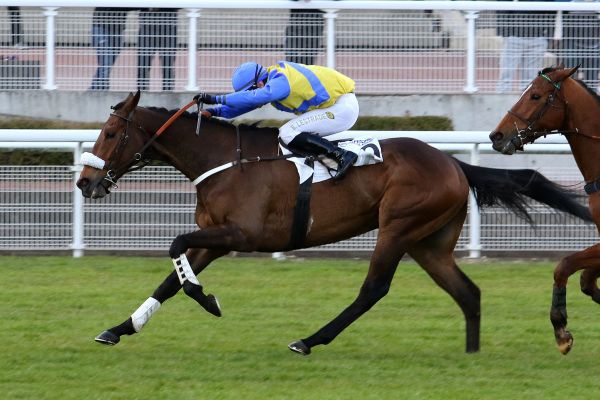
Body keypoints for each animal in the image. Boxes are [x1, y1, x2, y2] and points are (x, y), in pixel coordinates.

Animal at [78, 91, 592, 356]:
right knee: (467, 292)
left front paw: (208, 300)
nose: (85, 182)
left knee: (373, 290)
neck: (225, 160)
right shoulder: (214, 237)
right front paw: (119, 328)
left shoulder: (239, 234)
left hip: (398, 227)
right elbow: (170, 278)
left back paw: (309, 340)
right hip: (428, 242)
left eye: (110, 133)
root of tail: (451, 162)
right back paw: (471, 353)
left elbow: (175, 249)